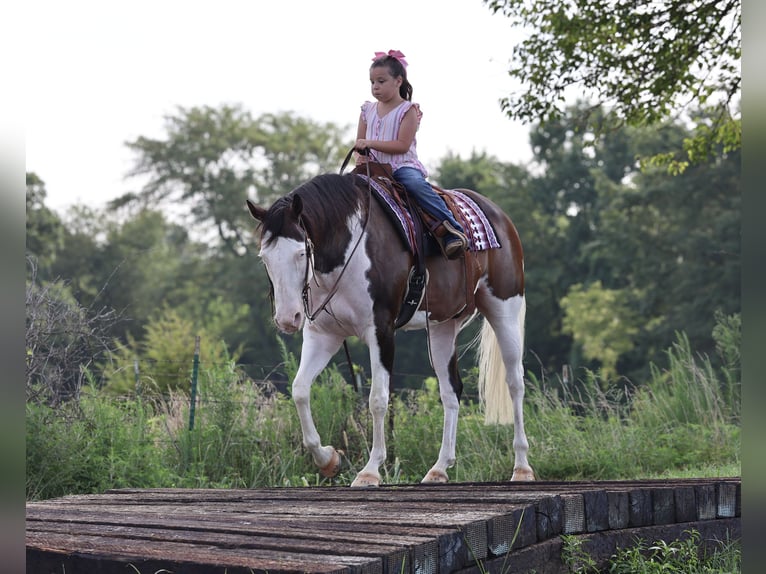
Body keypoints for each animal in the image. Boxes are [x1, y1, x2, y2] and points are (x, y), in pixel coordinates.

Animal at [246, 171, 534, 487]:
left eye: (300, 253)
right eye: (264, 257)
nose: (288, 318)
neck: (347, 251)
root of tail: (499, 216)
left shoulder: (381, 331)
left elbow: (378, 399)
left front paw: (370, 470)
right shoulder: (323, 335)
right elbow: (299, 390)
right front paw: (329, 459)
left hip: (505, 310)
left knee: (515, 383)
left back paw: (522, 467)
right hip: (443, 328)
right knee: (451, 391)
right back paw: (439, 468)